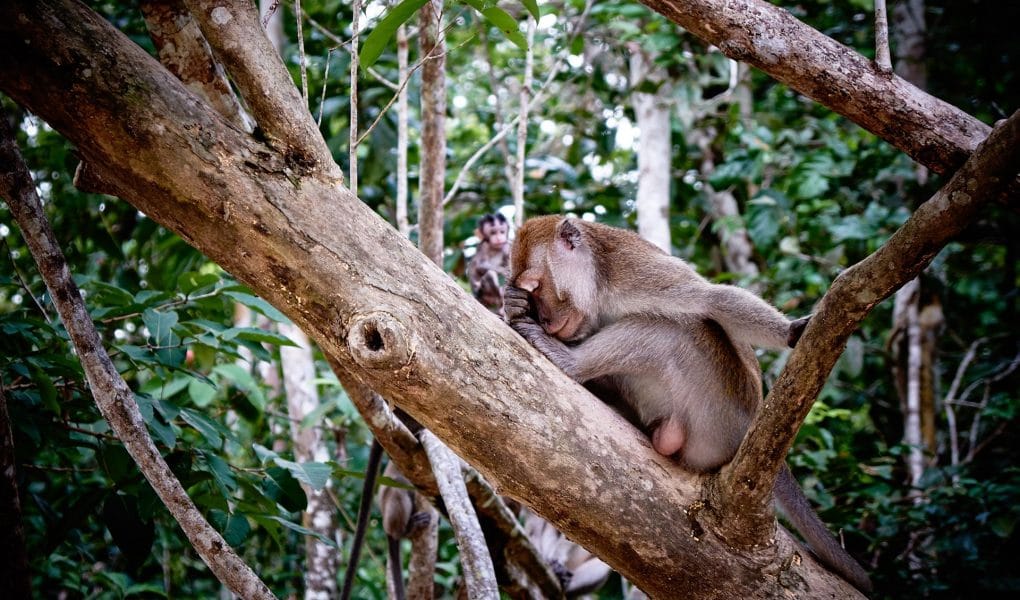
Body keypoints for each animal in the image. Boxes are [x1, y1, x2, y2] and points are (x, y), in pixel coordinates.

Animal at [503, 215, 871, 592]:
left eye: (537, 287)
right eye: (531, 295)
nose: (546, 320)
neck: (597, 283)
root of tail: (755, 422)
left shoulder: (633, 274)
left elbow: (712, 300)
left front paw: (793, 332)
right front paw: (511, 305)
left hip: (716, 414)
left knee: (671, 330)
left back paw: (570, 362)